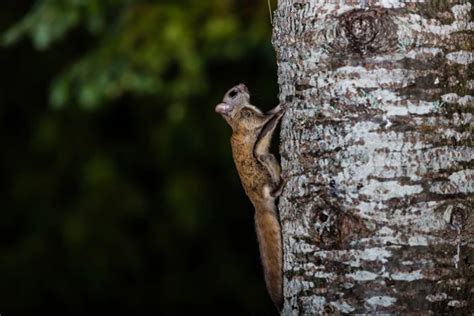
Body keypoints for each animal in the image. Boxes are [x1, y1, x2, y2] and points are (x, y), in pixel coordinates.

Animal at [215, 83, 286, 312]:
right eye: (233, 93)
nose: (243, 85)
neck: (236, 115)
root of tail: (258, 205)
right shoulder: (250, 118)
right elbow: (266, 120)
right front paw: (280, 108)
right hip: (263, 166)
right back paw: (280, 186)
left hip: (268, 159)